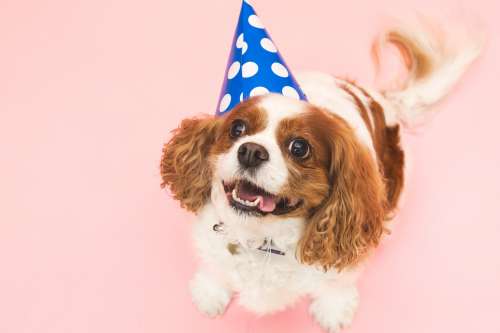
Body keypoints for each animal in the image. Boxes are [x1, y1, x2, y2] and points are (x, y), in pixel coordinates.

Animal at [159, 22, 480, 330]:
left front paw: (333, 310)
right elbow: (215, 267)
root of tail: (383, 102)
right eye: (237, 128)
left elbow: (338, 281)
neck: (264, 239)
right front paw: (210, 292)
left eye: (299, 147)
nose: (250, 151)